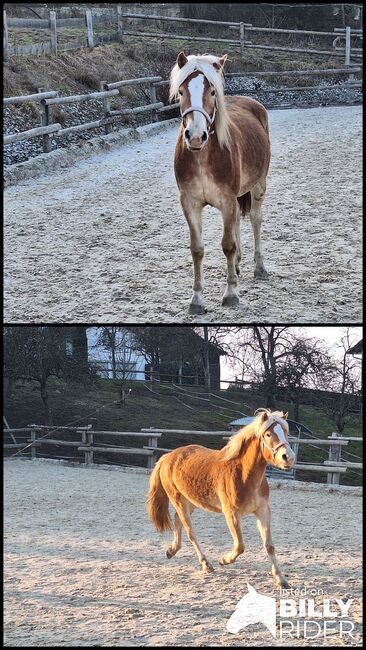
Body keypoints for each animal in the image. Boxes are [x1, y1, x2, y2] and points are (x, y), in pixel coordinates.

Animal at [146, 410, 294, 588]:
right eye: (268, 434)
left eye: (286, 432)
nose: (288, 457)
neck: (243, 474)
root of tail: (167, 457)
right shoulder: (231, 513)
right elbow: (240, 546)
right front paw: (223, 560)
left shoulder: (263, 511)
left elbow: (269, 546)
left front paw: (280, 579)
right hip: (178, 500)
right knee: (190, 532)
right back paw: (206, 564)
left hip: (191, 501)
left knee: (177, 520)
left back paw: (171, 550)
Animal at [170, 51, 270, 314]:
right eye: (181, 91)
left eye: (213, 91)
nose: (196, 136)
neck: (202, 157)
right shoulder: (190, 204)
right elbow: (197, 249)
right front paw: (196, 299)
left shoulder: (227, 201)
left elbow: (227, 245)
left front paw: (231, 293)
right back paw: (237, 265)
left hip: (259, 186)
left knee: (255, 220)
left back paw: (259, 267)